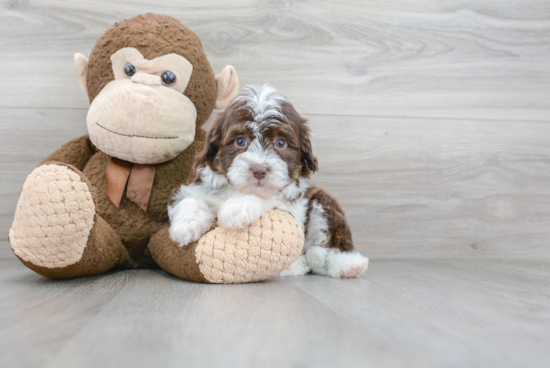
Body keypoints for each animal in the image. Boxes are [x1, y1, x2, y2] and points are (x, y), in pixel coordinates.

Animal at [167, 84, 370, 278]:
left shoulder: (291, 205)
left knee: (334, 241)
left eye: (281, 143)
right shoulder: (193, 185)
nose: (259, 170)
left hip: (322, 202)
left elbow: (266, 198)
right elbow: (190, 198)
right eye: (240, 141)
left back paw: (347, 265)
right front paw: (186, 225)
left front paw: (237, 209)